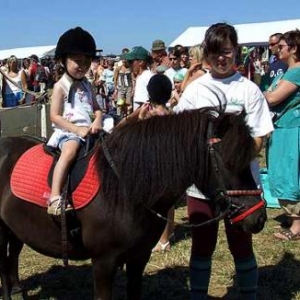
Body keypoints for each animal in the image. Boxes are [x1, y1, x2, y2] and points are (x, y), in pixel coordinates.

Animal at [0, 109, 268, 298]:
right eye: (229, 161)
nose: (258, 218)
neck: (123, 190)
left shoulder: (139, 257)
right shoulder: (103, 262)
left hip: (15, 229)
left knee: (12, 257)